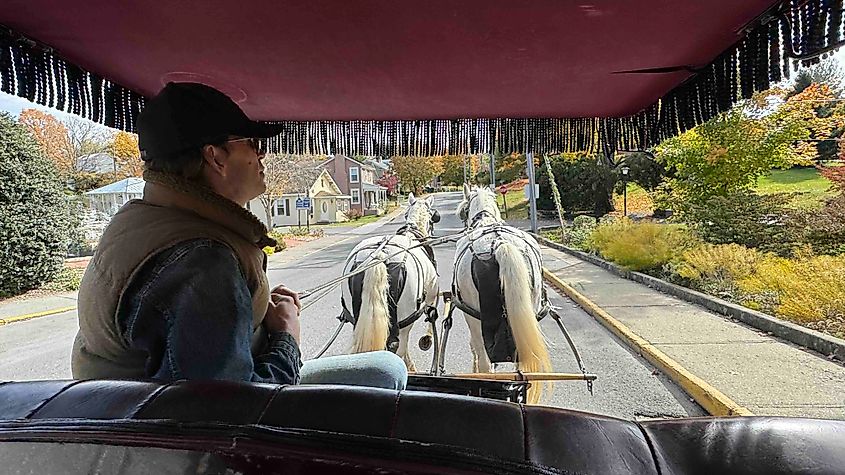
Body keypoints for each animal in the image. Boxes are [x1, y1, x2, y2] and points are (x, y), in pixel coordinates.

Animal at [340, 194, 438, 372]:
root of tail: (380, 256)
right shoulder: (433, 291)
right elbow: (432, 313)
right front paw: (427, 338)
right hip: (404, 322)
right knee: (400, 347)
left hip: (357, 319)